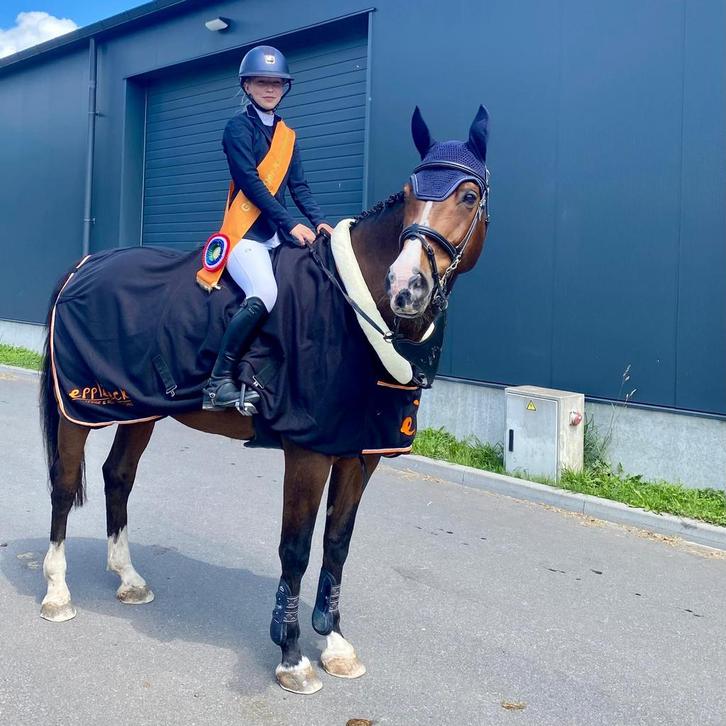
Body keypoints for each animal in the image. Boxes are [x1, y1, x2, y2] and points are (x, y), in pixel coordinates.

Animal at [37, 106, 491, 695]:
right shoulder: (308, 450)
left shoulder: (361, 452)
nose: (406, 285)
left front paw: (335, 643)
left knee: (118, 475)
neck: (353, 313)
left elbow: (338, 543)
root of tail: (84, 266)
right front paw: (292, 654)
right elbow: (295, 548)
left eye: (468, 195)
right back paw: (56, 592)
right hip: (81, 408)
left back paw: (129, 579)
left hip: (140, 409)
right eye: (413, 191)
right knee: (64, 485)